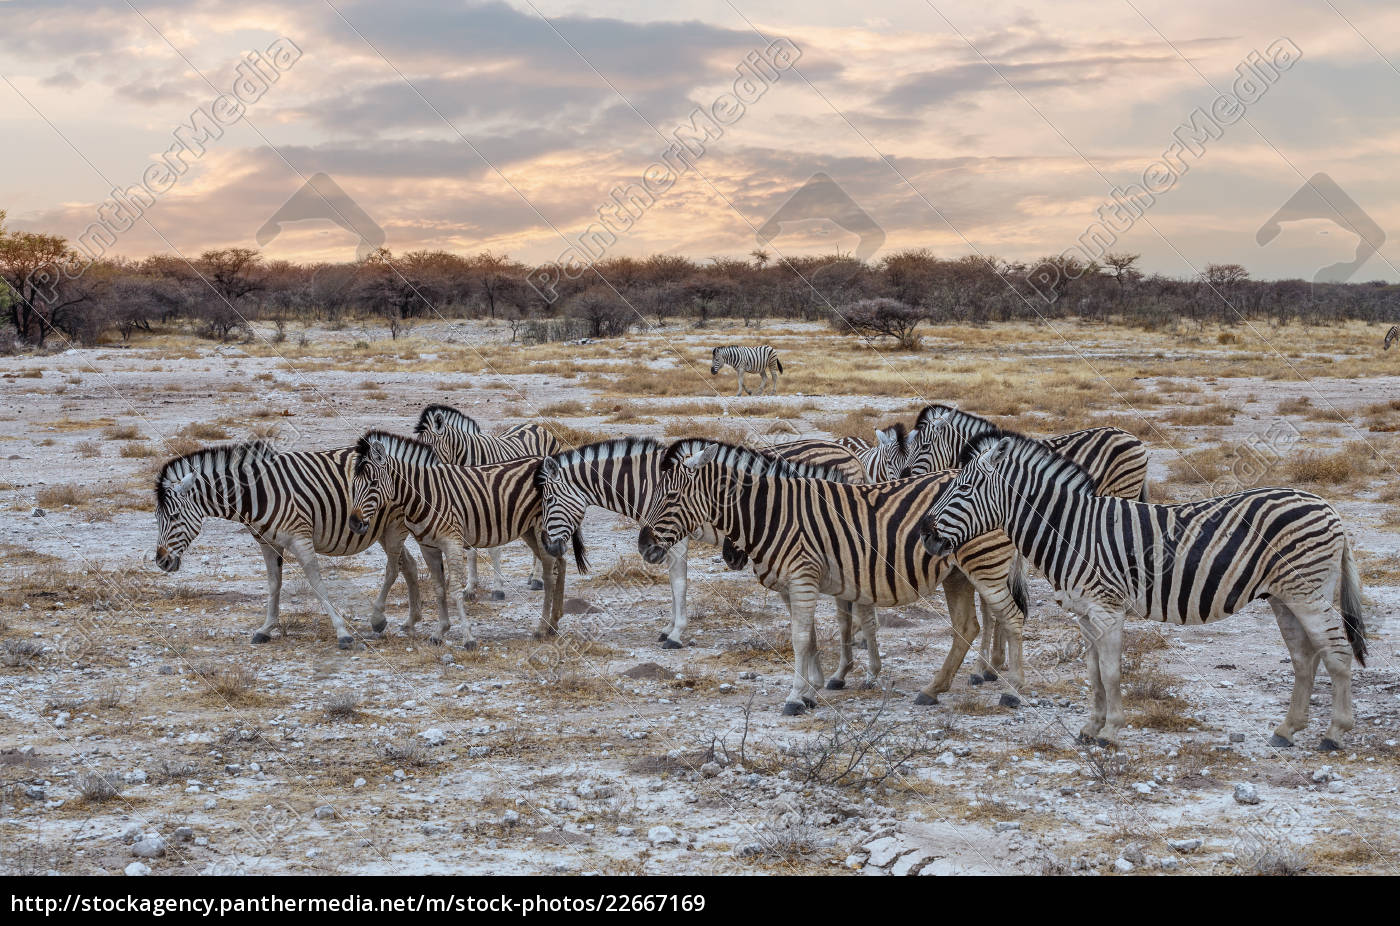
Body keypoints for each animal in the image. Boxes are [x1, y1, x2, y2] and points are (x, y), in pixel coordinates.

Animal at [155, 439, 420, 650]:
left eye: (174, 516)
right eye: (157, 517)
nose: (161, 561)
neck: (257, 494)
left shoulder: (300, 539)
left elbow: (316, 584)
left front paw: (342, 633)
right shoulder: (267, 542)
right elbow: (274, 584)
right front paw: (266, 628)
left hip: (394, 526)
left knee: (394, 568)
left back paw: (379, 618)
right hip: (382, 529)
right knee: (409, 564)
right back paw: (411, 621)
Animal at [352, 431, 588, 641]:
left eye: (373, 483)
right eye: (353, 483)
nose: (354, 522)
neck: (425, 495)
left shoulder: (452, 542)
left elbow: (455, 587)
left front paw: (467, 637)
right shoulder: (428, 547)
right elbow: (439, 588)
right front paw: (440, 631)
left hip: (542, 529)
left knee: (550, 574)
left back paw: (543, 627)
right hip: (530, 530)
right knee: (561, 563)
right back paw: (554, 623)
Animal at [408, 406, 557, 599]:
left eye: (430, 448)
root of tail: (535, 425)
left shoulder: (495, 506)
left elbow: (494, 549)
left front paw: (497, 589)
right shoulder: (469, 509)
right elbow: (471, 551)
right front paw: (470, 588)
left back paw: (539, 578)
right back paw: (533, 575)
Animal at [635, 437, 1030, 711]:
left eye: (670, 497)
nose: (643, 546)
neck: (770, 512)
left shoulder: (802, 577)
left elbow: (798, 639)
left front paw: (795, 698)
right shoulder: (791, 585)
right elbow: (809, 638)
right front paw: (812, 691)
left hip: (983, 564)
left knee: (1010, 617)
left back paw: (1013, 690)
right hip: (957, 573)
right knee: (967, 626)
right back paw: (933, 690)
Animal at [918, 428, 1366, 745]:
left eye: (963, 488)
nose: (925, 533)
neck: (1072, 531)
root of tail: (1329, 508)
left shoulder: (1106, 607)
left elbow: (1111, 671)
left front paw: (1111, 732)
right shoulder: (1086, 613)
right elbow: (1094, 672)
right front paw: (1090, 728)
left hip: (1308, 593)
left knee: (1337, 652)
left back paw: (1334, 733)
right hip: (1283, 596)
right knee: (1304, 656)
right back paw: (1287, 730)